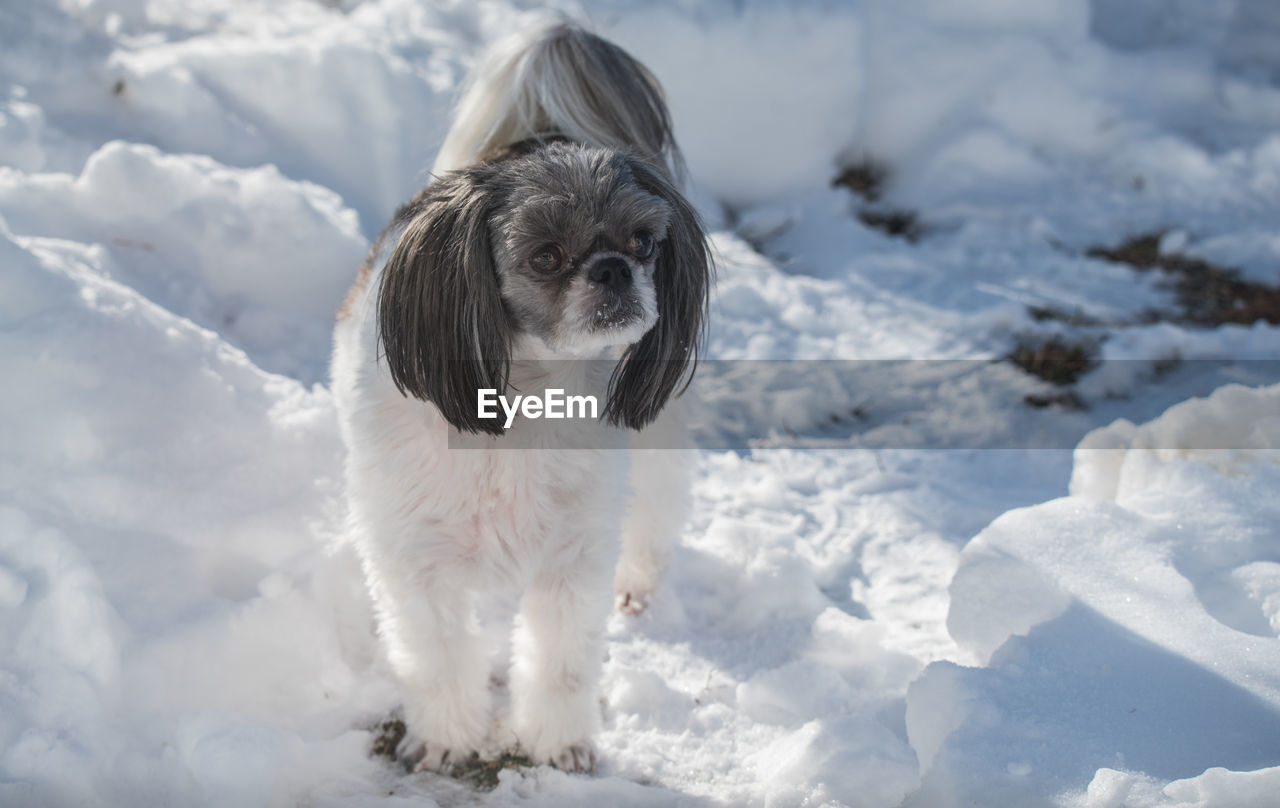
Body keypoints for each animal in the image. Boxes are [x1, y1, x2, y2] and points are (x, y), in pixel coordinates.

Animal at [330, 22, 711, 773]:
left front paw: (559, 743)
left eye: (643, 242)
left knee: (655, 508)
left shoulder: (573, 558)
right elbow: (439, 658)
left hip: (655, 439)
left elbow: (561, 661)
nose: (614, 268)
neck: (524, 400)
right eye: (545, 256)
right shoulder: (416, 562)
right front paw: (446, 739)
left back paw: (639, 582)